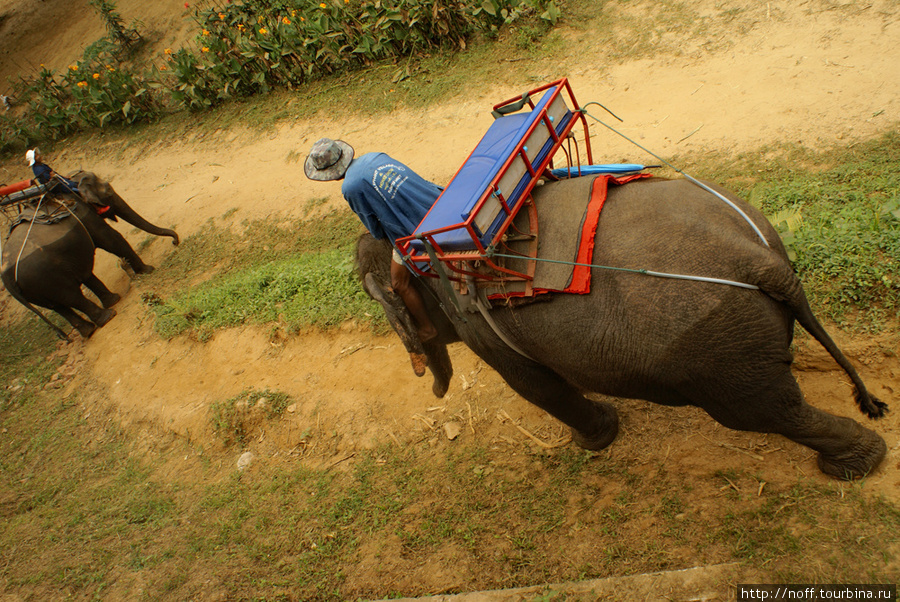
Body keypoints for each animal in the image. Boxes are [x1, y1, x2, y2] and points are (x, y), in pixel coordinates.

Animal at [0, 172, 178, 338]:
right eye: (108, 191)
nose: (175, 242)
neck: (68, 183)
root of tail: (7, 279)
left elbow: (86, 273)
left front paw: (113, 299)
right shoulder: (84, 214)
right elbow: (112, 240)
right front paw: (148, 270)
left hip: (35, 289)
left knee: (58, 306)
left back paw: (90, 328)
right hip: (44, 276)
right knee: (72, 297)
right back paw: (108, 316)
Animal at [356, 173, 888, 478]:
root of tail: (757, 258)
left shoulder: (483, 330)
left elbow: (536, 385)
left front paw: (593, 442)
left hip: (722, 349)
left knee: (763, 413)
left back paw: (853, 466)